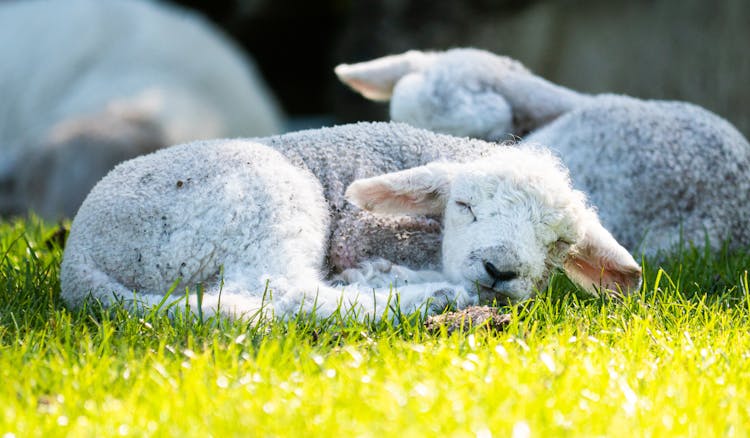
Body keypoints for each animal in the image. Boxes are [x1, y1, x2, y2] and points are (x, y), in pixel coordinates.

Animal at [60, 121, 640, 320]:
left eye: (559, 242)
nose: (500, 271)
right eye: (465, 206)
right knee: (277, 297)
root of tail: (78, 264)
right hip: (259, 198)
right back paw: (426, 298)